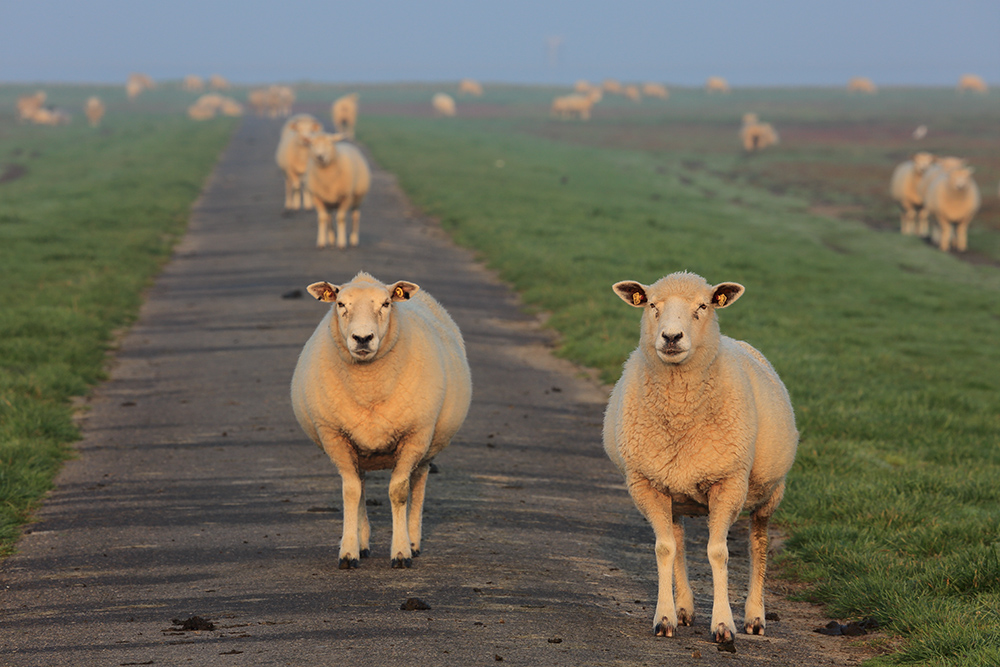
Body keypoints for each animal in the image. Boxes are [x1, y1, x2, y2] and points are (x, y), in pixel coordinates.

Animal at [292, 272, 472, 568]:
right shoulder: (335, 436)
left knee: (418, 483)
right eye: (340, 304)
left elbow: (399, 492)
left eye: (386, 304)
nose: (363, 338)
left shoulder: (414, 436)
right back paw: (363, 542)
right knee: (362, 485)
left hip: (428, 443)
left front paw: (401, 552)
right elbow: (351, 493)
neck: (368, 386)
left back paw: (413, 541)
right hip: (359, 448)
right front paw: (349, 552)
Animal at [600, 272, 796, 648]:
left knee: (758, 544)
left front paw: (723, 625)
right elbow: (665, 549)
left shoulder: (728, 482)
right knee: (677, 542)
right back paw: (685, 608)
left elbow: (719, 553)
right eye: (652, 305)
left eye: (703, 306)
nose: (671, 337)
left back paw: (755, 616)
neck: (680, 409)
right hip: (675, 492)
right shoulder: (647, 484)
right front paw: (665, 618)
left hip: (769, 492)